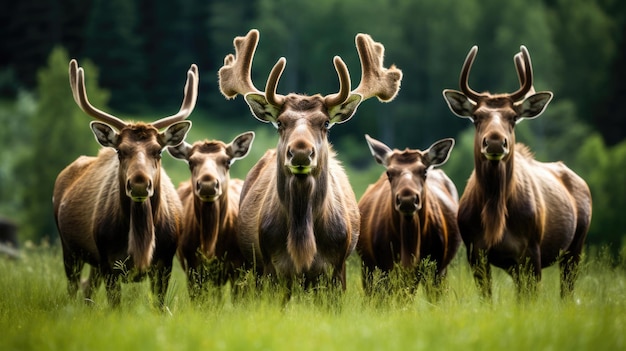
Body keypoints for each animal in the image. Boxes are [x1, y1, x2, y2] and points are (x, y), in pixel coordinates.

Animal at [52, 59, 196, 306]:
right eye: (120, 151)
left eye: (158, 151)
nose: (139, 184)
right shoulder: (108, 261)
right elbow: (115, 306)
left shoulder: (165, 262)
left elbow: (159, 305)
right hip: (69, 248)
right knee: (73, 288)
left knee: (88, 287)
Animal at [217, 29, 402, 296]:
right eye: (280, 122)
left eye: (325, 123)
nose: (301, 152)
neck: (302, 239)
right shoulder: (271, 267)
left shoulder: (337, 268)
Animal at [356, 135, 458, 296]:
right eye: (389, 173)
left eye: (424, 171)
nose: (407, 199)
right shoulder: (384, 266)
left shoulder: (436, 265)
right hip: (367, 266)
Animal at [438, 45, 588, 300]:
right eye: (476, 116)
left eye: (513, 117)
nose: (495, 142)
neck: (495, 216)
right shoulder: (475, 252)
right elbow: (488, 299)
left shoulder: (531, 250)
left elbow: (529, 300)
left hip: (576, 245)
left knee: (566, 291)